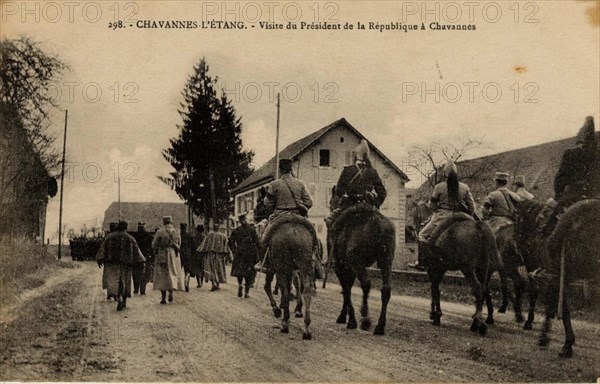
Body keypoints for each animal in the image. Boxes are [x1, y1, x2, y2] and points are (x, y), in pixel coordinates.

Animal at [330, 204, 396, 336]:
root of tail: (378, 224)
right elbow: (347, 290)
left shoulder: (343, 267)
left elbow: (346, 290)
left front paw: (349, 320)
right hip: (386, 259)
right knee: (385, 289)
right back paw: (380, 326)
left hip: (357, 262)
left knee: (366, 284)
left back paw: (365, 319)